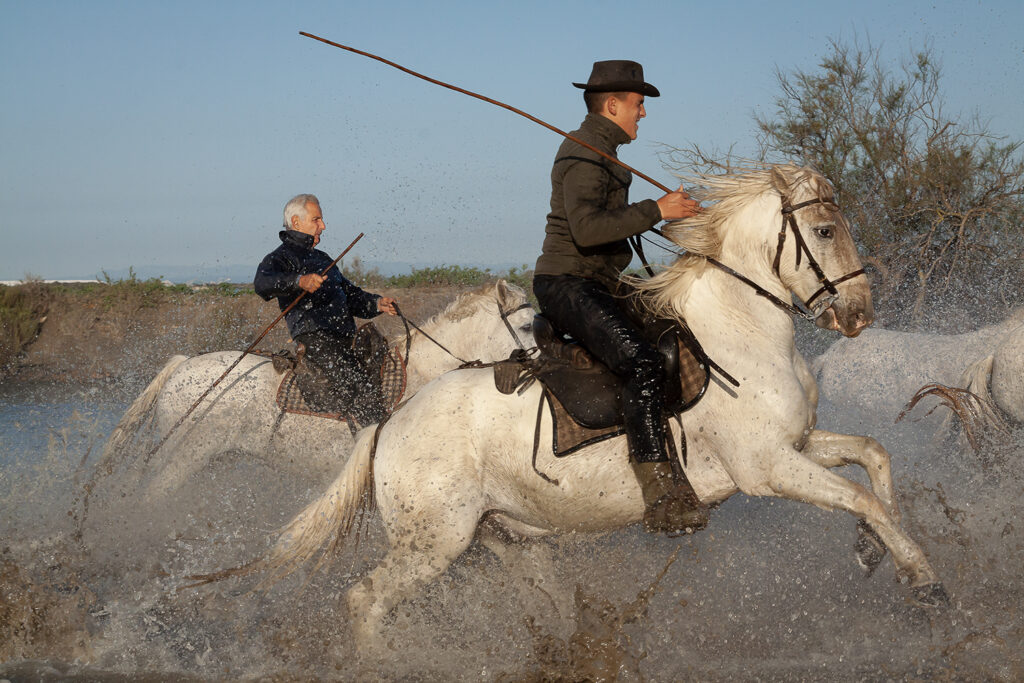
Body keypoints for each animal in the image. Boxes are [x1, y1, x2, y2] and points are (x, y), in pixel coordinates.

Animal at [202, 164, 947, 652]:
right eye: (823, 230)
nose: (858, 314)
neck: (738, 331)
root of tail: (388, 423)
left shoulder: (800, 444)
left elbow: (872, 460)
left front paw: (874, 550)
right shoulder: (767, 468)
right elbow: (861, 494)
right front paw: (923, 579)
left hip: (507, 538)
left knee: (542, 600)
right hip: (431, 544)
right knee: (364, 600)